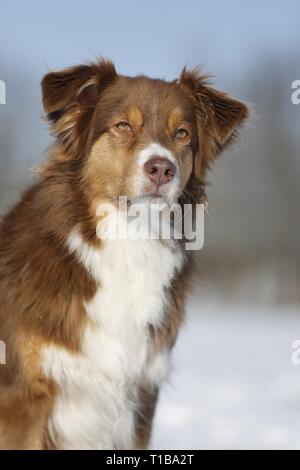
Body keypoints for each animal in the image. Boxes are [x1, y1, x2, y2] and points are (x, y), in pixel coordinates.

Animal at [0, 60, 248, 450]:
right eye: (123, 125)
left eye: (182, 133)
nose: (161, 168)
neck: (128, 238)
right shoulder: (21, 397)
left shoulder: (141, 396)